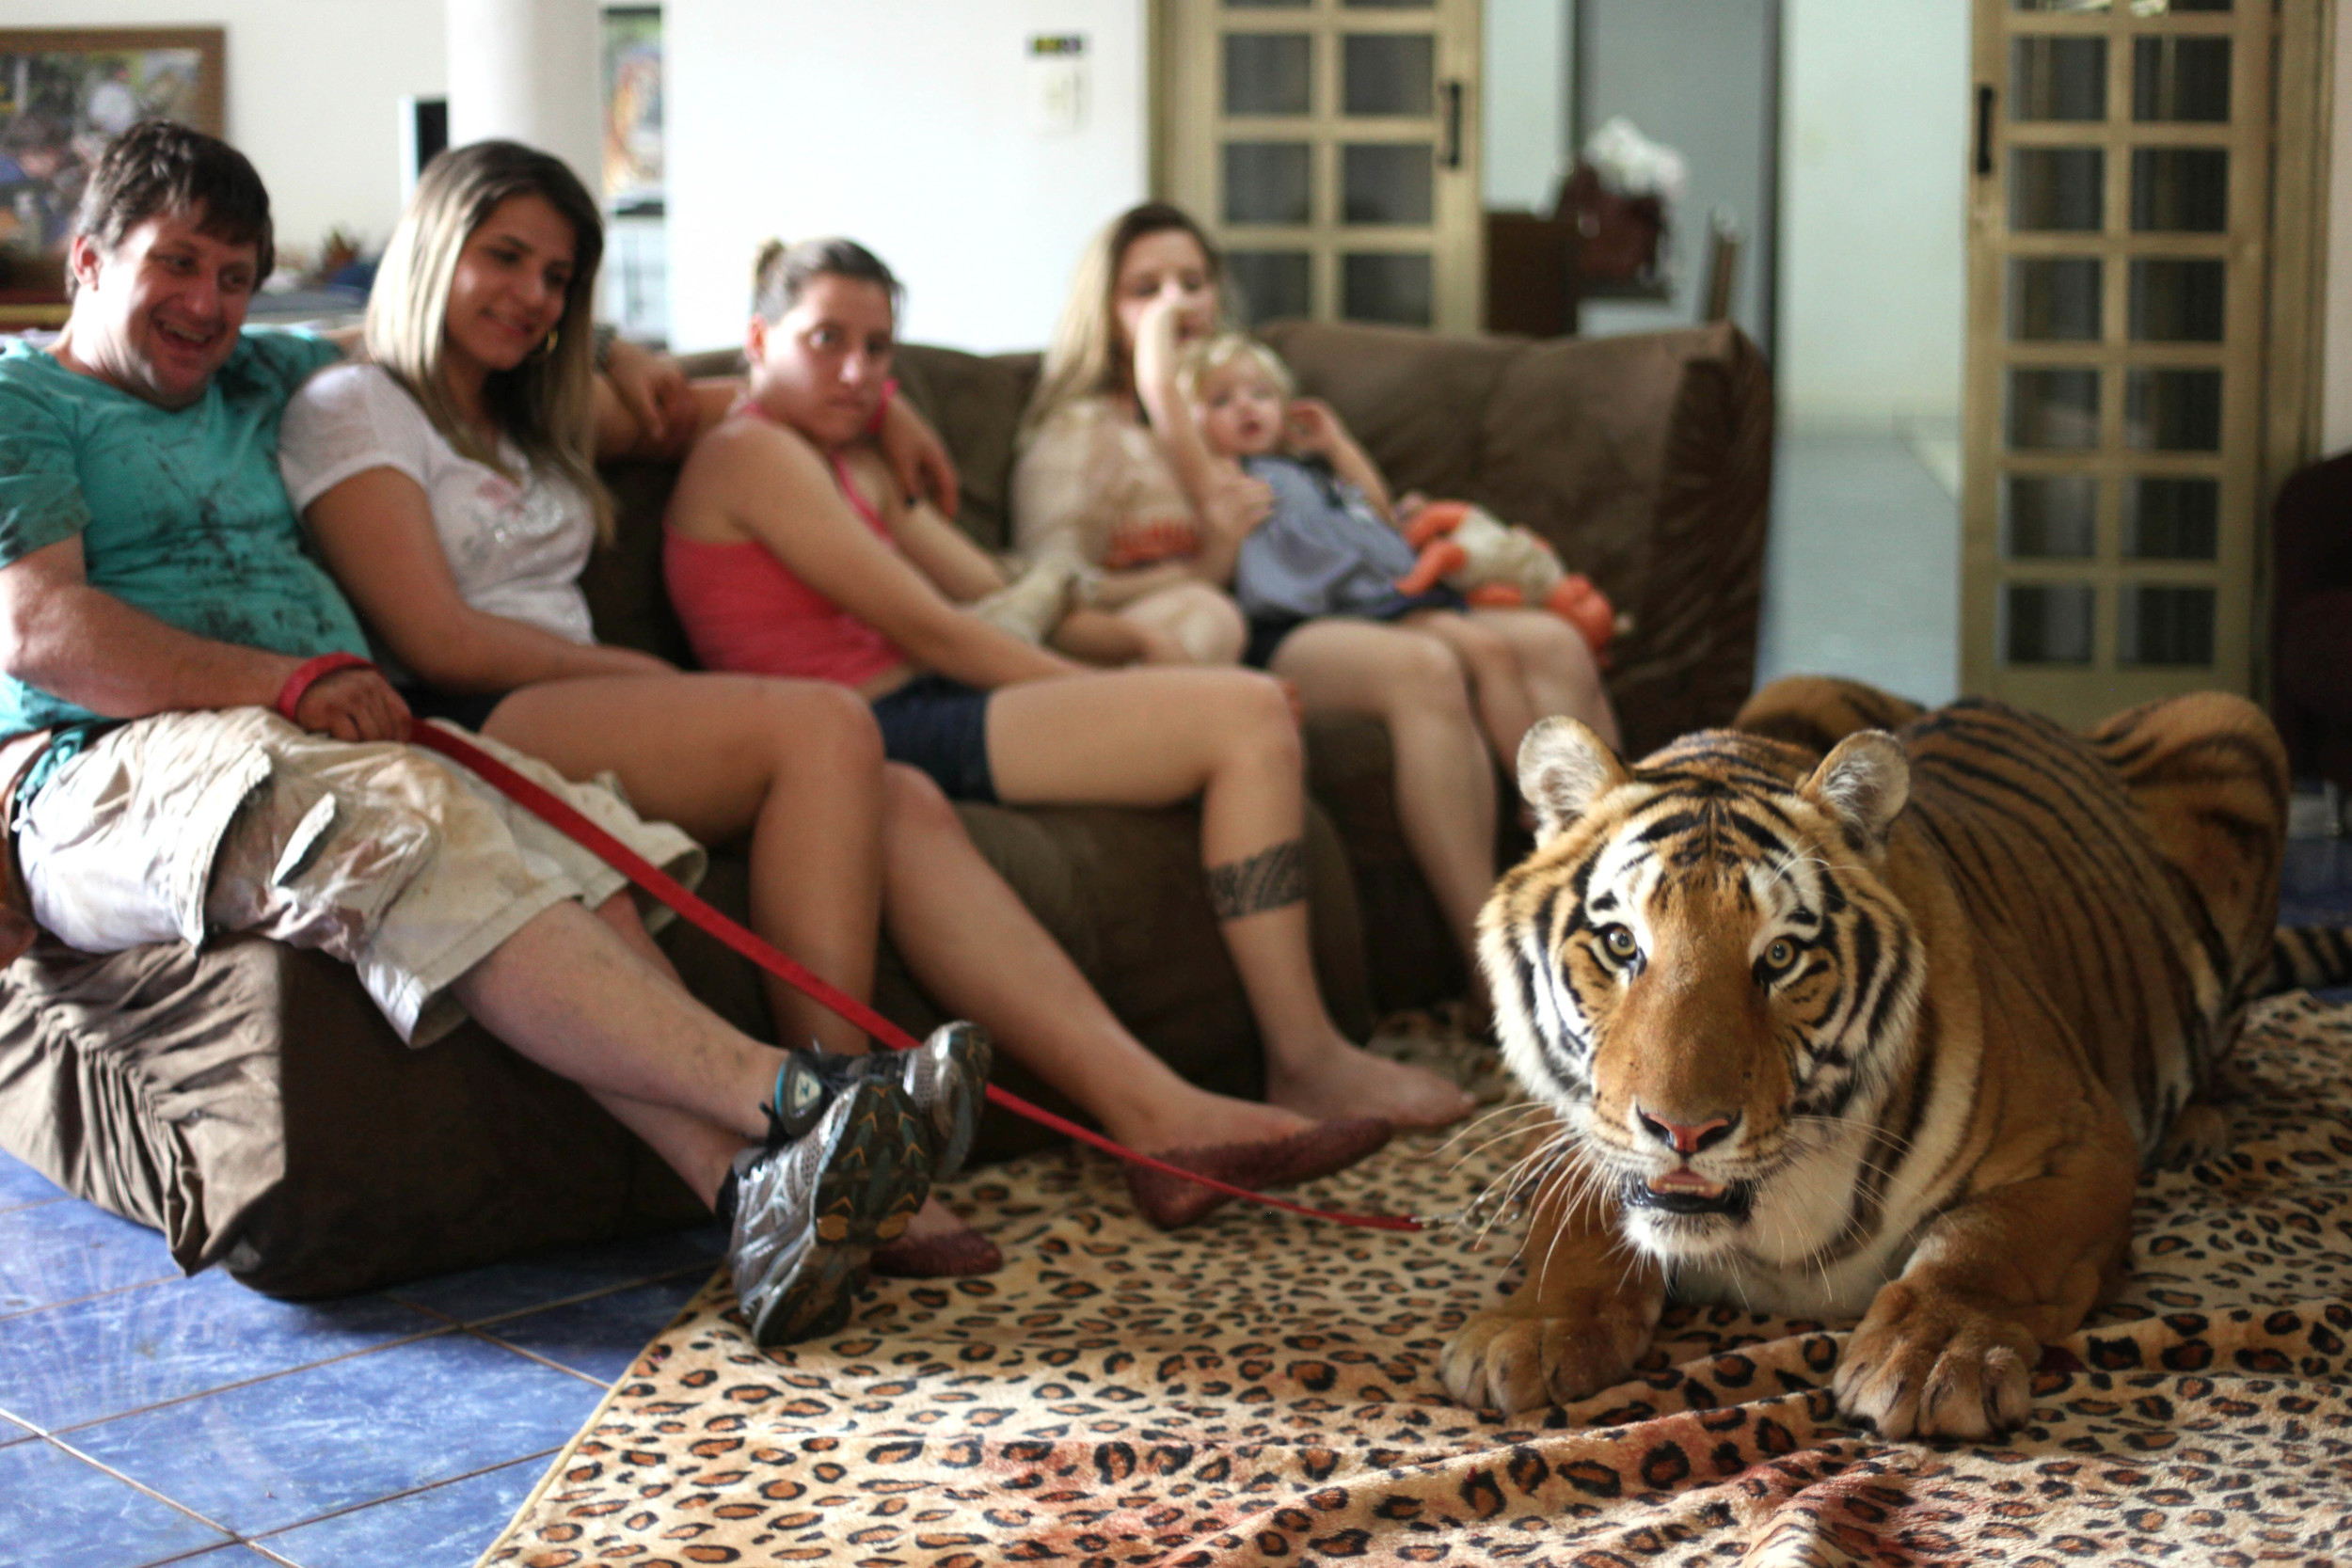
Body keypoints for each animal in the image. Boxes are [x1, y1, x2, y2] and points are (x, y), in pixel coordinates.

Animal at [1439, 681, 2352, 1438]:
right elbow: (1576, 1220)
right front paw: (1530, 1329)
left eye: (1779, 958)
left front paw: (1931, 1358)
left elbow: (1984, 1239)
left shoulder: (2082, 1144)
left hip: (2235, 724)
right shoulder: (1567, 1128)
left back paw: (2200, 1125)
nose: (1684, 1131)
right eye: (1622, 943)